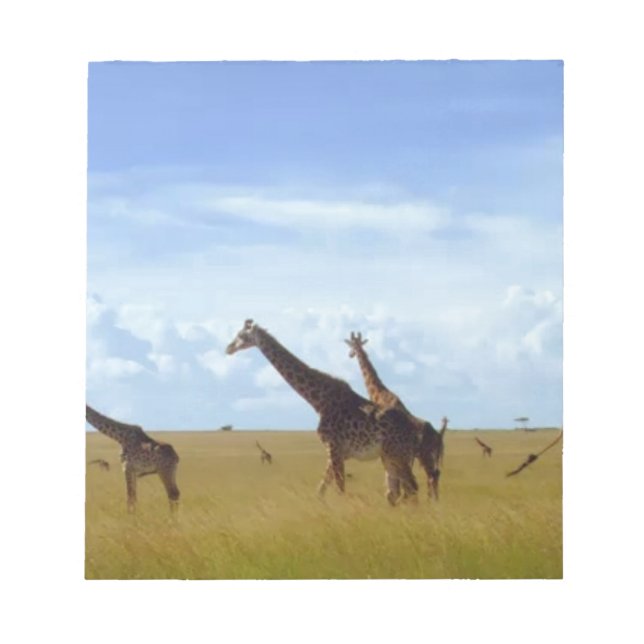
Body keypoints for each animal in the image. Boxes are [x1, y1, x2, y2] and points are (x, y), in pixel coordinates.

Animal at [226, 320, 419, 505]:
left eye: (241, 335)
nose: (228, 348)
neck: (318, 401)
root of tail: (414, 429)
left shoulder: (333, 447)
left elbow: (340, 489)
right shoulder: (335, 452)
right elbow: (321, 490)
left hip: (398, 454)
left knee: (411, 489)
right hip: (389, 456)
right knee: (396, 493)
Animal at [344, 331, 448, 500]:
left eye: (352, 345)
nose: (350, 354)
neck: (380, 395)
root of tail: (439, 436)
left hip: (425, 454)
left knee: (432, 475)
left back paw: (432, 501)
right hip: (428, 455)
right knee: (435, 474)